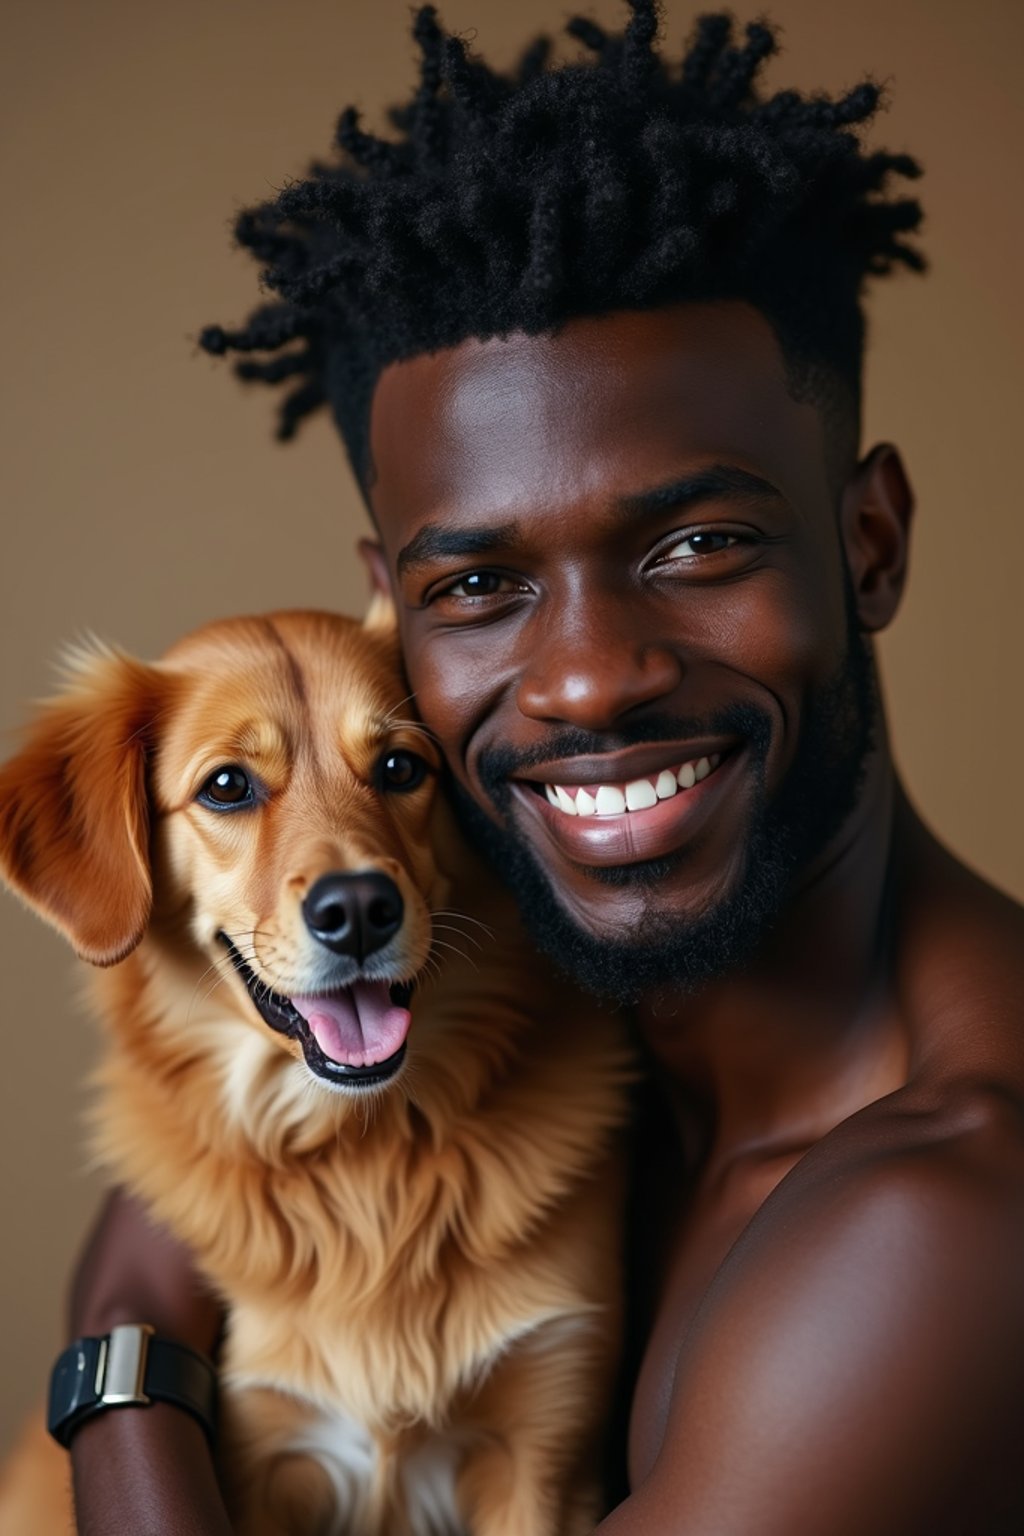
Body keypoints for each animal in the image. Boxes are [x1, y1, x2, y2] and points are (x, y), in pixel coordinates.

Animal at [0, 605, 632, 1536]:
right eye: (227, 786)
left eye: (401, 767)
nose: (360, 908)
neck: (360, 1155)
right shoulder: (262, 1456)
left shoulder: (544, 1450)